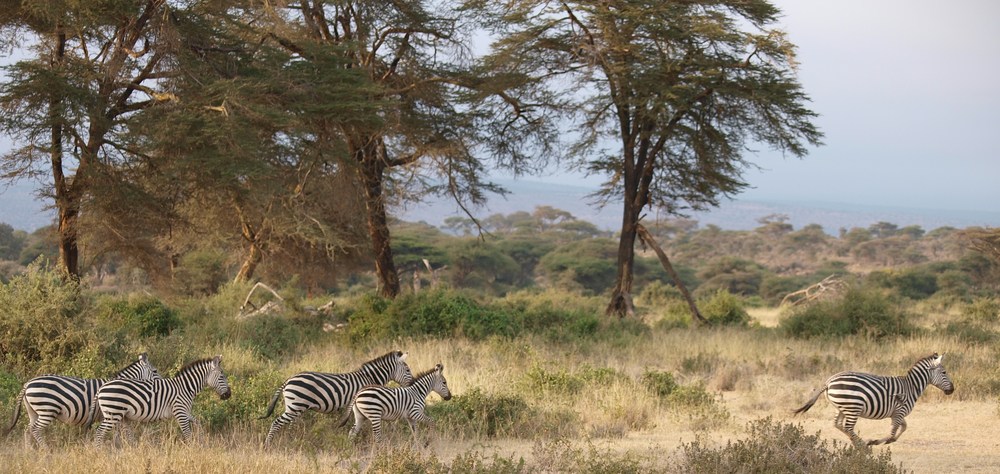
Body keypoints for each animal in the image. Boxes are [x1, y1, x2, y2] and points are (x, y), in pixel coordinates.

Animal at [3, 352, 161, 448]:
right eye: (155, 371)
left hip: (33, 411)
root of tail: (27, 384)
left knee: (27, 430)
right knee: (35, 429)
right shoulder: (113, 413)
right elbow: (120, 433)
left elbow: (121, 433)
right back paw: (45, 450)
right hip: (47, 409)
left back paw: (29, 451)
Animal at [94, 354, 232, 446]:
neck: (185, 387)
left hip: (121, 416)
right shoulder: (180, 412)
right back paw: (100, 452)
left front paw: (203, 441)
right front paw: (192, 449)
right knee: (99, 433)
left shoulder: (185, 411)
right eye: (222, 376)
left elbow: (198, 424)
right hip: (113, 414)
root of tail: (100, 388)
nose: (229, 395)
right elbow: (187, 434)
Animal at [262, 350, 414, 446]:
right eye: (408, 370)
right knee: (276, 423)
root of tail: (288, 379)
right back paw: (268, 445)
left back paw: (291, 440)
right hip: (295, 406)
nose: (413, 384)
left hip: (294, 406)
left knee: (289, 424)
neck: (369, 378)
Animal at [796, 352, 952, 448]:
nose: (952, 389)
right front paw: (876, 441)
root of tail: (829, 381)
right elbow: (893, 431)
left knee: (838, 424)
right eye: (944, 372)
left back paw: (857, 442)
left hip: (841, 407)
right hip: (853, 407)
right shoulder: (900, 411)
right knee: (848, 427)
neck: (911, 386)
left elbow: (903, 427)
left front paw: (889, 441)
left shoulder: (897, 413)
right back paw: (862, 445)